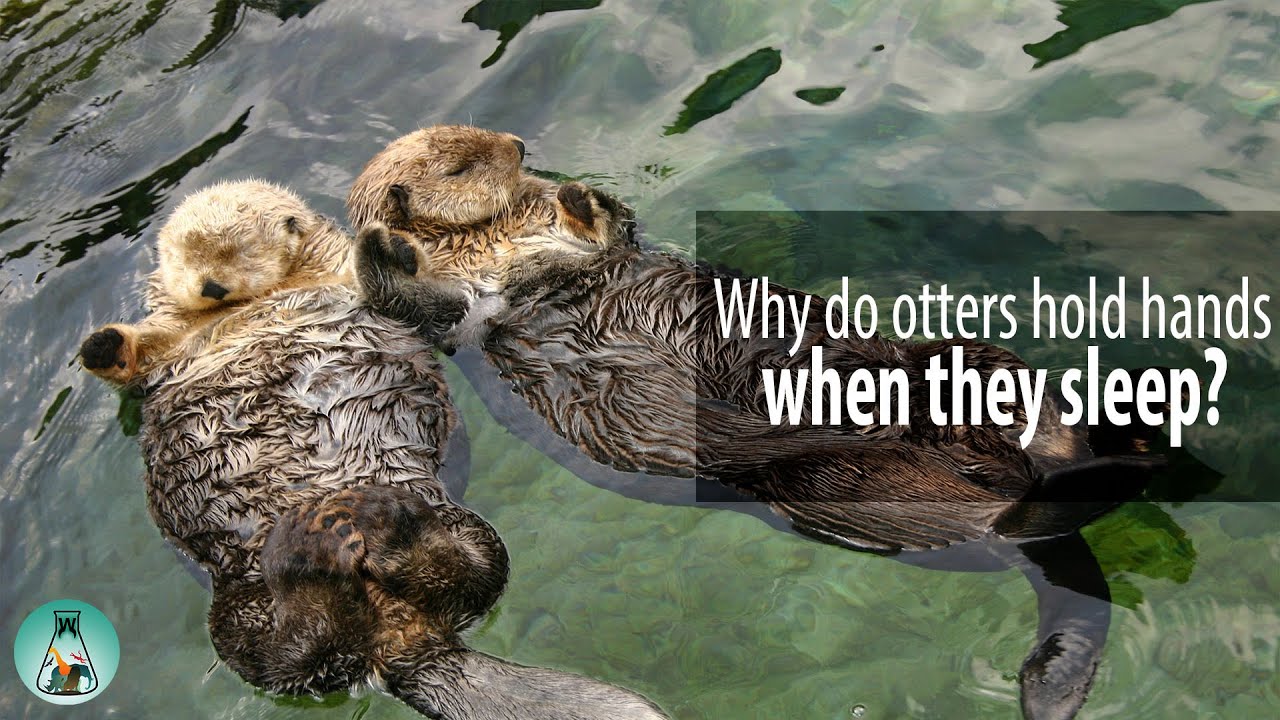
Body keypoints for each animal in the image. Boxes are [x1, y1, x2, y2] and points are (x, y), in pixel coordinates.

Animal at [79, 185, 669, 720]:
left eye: (238, 251)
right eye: (183, 259)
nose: (210, 285)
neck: (258, 300)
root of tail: (398, 640)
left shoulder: (351, 276)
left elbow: (415, 295)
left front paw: (395, 250)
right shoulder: (167, 340)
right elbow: (135, 355)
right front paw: (101, 344)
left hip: (453, 519)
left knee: (474, 572)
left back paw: (380, 531)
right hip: (238, 605)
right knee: (288, 654)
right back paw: (318, 556)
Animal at [346, 127, 1188, 720]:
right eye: (460, 166)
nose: (521, 150)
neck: (497, 243)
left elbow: (612, 228)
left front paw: (580, 197)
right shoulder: (458, 322)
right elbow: (414, 300)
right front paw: (384, 241)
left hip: (962, 368)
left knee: (1028, 425)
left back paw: (1141, 437)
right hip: (838, 487)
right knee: (1019, 516)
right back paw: (1135, 463)